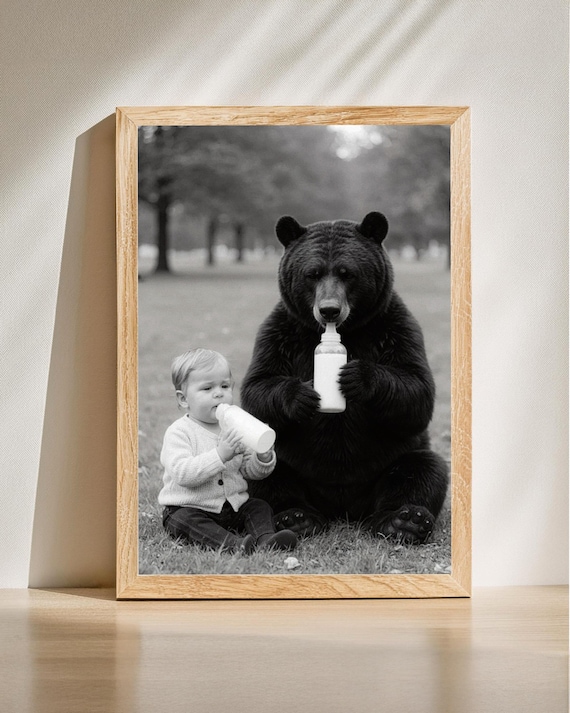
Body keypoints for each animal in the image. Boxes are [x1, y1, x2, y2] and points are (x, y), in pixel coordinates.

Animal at [240, 211, 448, 544]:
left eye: (347, 272)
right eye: (312, 273)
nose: (329, 310)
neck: (345, 331)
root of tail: (342, 510)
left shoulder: (393, 328)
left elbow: (416, 390)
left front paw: (357, 376)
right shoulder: (282, 333)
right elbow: (259, 388)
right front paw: (303, 395)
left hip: (390, 461)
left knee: (422, 470)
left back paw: (403, 521)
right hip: (286, 459)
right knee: (262, 474)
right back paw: (296, 517)